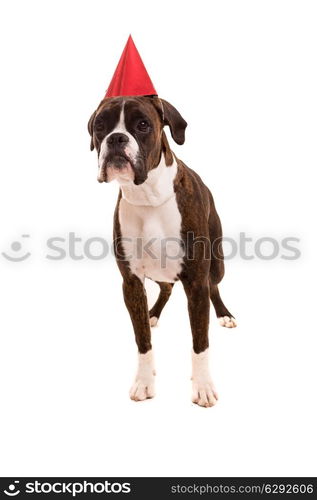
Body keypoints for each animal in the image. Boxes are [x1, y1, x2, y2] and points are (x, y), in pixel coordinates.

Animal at [87, 95, 236, 408]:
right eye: (100, 126)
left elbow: (200, 342)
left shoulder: (196, 282)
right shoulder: (131, 282)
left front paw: (203, 387)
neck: (148, 196)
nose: (116, 138)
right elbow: (142, 340)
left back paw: (224, 314)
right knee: (166, 288)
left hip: (216, 264)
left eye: (143, 125)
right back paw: (153, 313)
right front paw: (144, 382)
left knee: (214, 286)